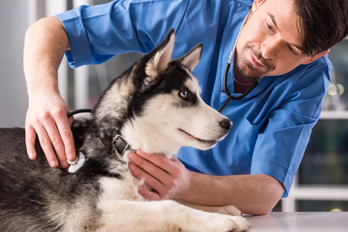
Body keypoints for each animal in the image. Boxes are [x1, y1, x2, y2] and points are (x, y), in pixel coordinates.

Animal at [0, 29, 250, 232]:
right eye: (184, 94)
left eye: (197, 94)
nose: (228, 124)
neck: (122, 145)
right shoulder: (88, 216)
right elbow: (169, 206)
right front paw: (221, 221)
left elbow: (174, 197)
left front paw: (221, 208)